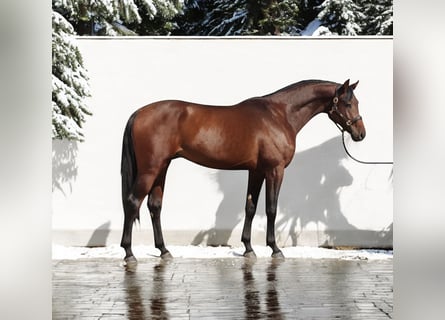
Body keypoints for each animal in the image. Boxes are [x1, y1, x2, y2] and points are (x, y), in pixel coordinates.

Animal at [120, 79, 364, 262]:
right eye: (348, 103)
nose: (361, 133)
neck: (279, 114)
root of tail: (138, 113)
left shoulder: (256, 171)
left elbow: (250, 207)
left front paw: (248, 248)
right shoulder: (275, 170)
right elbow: (271, 209)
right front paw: (275, 249)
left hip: (162, 168)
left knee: (154, 206)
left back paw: (164, 250)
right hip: (150, 170)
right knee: (133, 202)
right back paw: (129, 252)